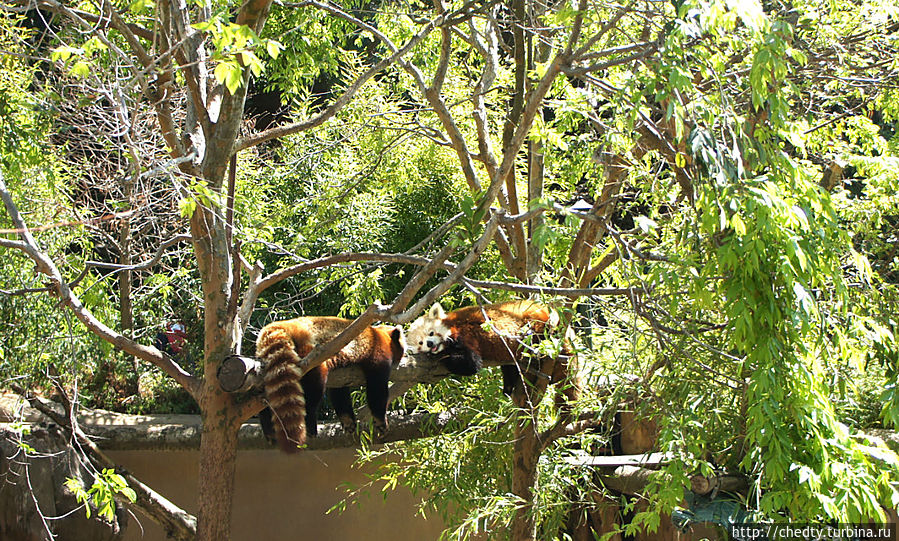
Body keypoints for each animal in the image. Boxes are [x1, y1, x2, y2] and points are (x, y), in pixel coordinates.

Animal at [255, 316, 406, 452]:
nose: (406, 355)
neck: (381, 335)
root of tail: (285, 324)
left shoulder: (342, 374)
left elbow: (339, 394)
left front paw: (348, 421)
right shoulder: (378, 354)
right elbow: (377, 390)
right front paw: (381, 422)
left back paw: (268, 427)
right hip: (310, 352)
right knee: (313, 389)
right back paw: (310, 423)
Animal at [406, 300, 580, 400]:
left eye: (431, 333)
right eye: (420, 343)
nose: (430, 344)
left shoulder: (464, 335)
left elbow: (471, 364)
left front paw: (443, 354)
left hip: (538, 318)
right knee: (510, 366)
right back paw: (509, 387)